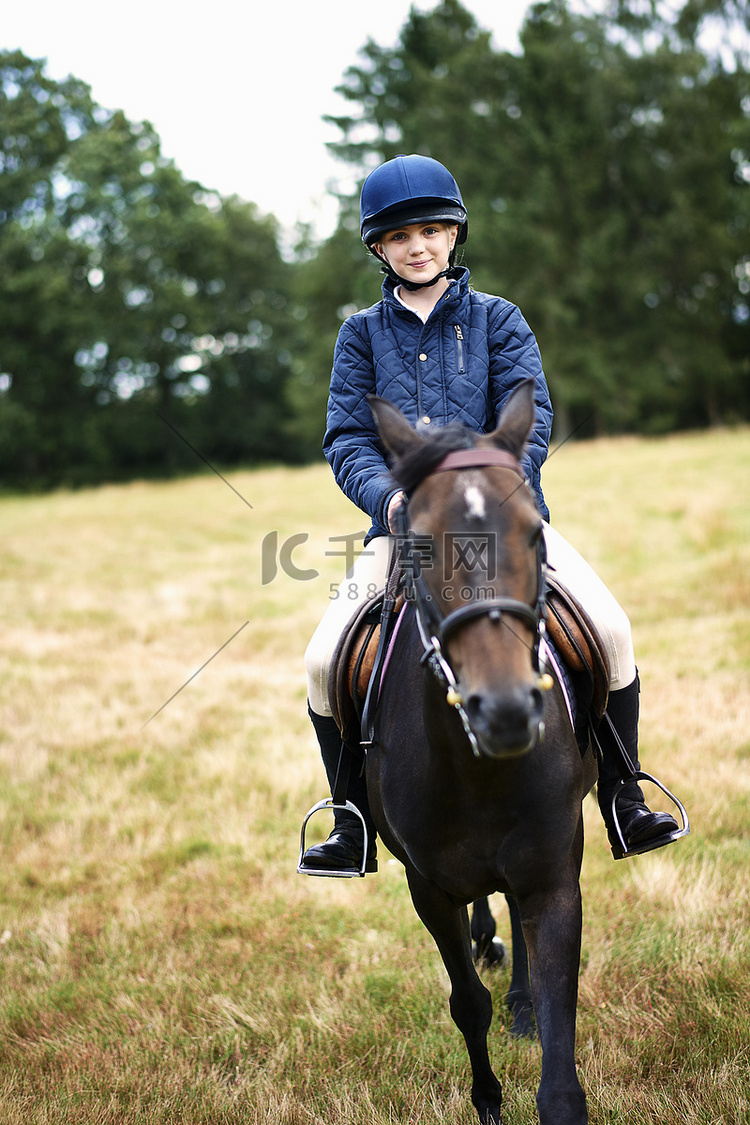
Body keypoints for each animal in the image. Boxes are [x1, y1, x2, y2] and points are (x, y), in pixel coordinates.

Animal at [364, 382, 598, 1120]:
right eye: (417, 543)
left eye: (534, 532)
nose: (505, 709)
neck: (478, 770)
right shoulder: (427, 886)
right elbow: (466, 1001)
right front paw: (489, 1100)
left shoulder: (553, 871)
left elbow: (558, 1027)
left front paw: (532, 1016)